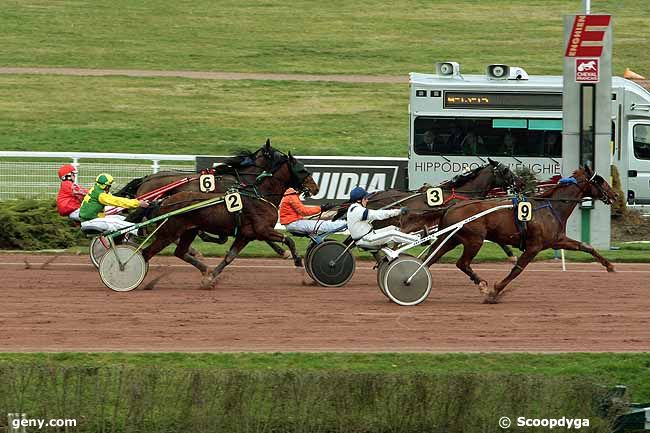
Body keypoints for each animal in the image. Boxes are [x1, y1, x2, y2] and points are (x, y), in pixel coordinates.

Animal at [140, 148, 318, 286]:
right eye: (302, 170)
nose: (315, 188)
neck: (258, 193)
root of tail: (163, 201)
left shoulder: (246, 234)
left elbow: (229, 256)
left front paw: (210, 278)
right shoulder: (262, 229)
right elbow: (289, 240)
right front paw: (296, 259)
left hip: (188, 231)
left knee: (179, 251)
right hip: (169, 232)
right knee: (147, 251)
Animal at [422, 166, 616, 304]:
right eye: (600, 180)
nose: (614, 195)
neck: (550, 207)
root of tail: (450, 207)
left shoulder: (557, 240)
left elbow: (586, 246)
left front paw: (609, 266)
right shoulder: (534, 247)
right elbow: (517, 269)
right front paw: (494, 292)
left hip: (451, 240)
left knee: (429, 259)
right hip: (474, 240)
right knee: (462, 263)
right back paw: (482, 285)